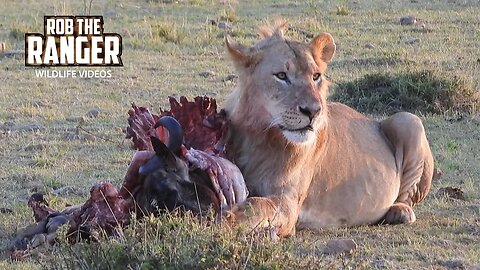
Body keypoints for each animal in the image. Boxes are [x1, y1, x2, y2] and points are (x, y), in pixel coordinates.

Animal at [223, 20, 434, 236]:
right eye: (281, 75)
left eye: (316, 76)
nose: (313, 111)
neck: (261, 138)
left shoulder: (289, 203)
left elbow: (256, 205)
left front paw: (226, 219)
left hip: (408, 120)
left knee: (407, 195)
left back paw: (399, 211)